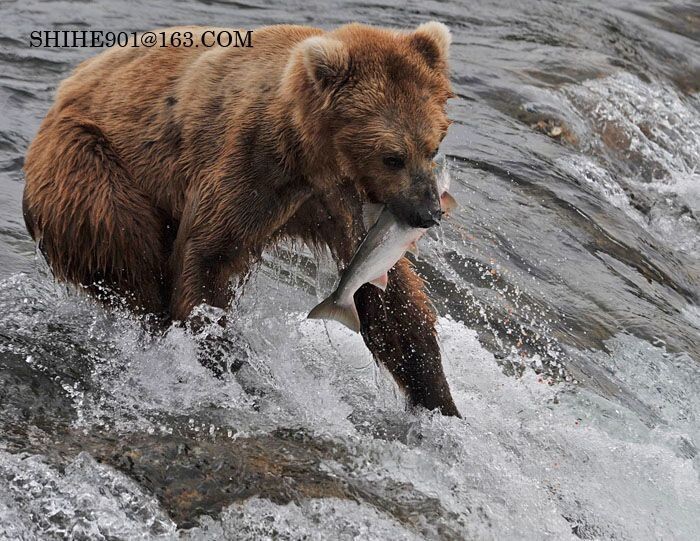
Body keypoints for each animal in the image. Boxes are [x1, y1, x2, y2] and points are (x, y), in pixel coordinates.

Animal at [21, 22, 460, 414]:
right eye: (392, 157)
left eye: (433, 146)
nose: (428, 213)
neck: (311, 151)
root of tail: (66, 88)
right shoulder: (251, 164)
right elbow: (209, 255)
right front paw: (218, 356)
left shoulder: (336, 199)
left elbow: (389, 295)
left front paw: (437, 396)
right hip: (88, 166)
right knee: (127, 245)